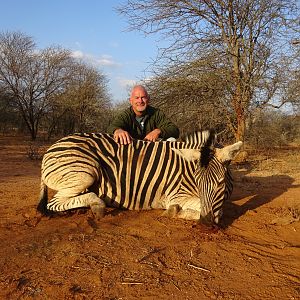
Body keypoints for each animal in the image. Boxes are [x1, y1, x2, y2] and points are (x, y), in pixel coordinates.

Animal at [37, 130, 243, 224]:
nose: (206, 224)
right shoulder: (177, 195)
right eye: (198, 183)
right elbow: (215, 210)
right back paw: (96, 205)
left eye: (220, 184)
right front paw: (175, 211)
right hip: (85, 172)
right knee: (53, 203)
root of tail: (51, 149)